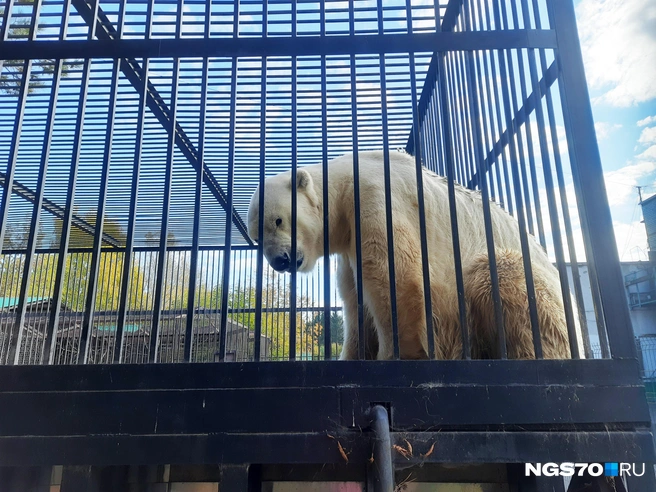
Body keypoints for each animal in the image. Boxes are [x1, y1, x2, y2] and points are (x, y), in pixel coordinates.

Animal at [247, 150, 582, 361]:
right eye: (256, 237)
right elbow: (356, 303)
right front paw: (355, 355)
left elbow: (395, 278)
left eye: (278, 220)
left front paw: (396, 355)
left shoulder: (376, 199)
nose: (280, 261)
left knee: (502, 272)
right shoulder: (349, 242)